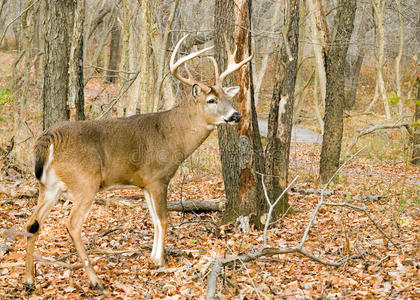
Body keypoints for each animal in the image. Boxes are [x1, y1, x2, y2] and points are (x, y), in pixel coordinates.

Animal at [23, 34, 253, 290]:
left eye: (228, 98)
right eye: (211, 99)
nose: (236, 115)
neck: (174, 136)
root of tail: (48, 137)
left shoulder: (144, 183)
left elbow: (153, 220)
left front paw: (152, 258)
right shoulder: (158, 178)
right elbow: (164, 219)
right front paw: (160, 262)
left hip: (50, 186)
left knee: (32, 223)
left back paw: (29, 280)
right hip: (85, 182)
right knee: (72, 223)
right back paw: (95, 280)